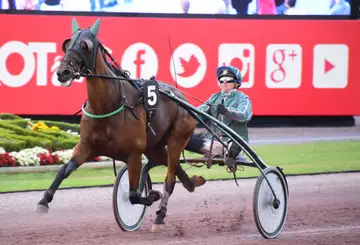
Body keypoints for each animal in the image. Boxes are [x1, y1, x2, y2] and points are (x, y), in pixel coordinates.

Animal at [35, 17, 208, 232]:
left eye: (85, 45)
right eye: (66, 44)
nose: (63, 72)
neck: (108, 105)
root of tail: (180, 97)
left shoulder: (134, 153)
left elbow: (133, 196)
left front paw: (151, 195)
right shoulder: (86, 146)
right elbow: (64, 170)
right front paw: (43, 201)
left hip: (178, 137)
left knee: (169, 179)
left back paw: (160, 217)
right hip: (155, 147)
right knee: (175, 171)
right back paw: (192, 182)